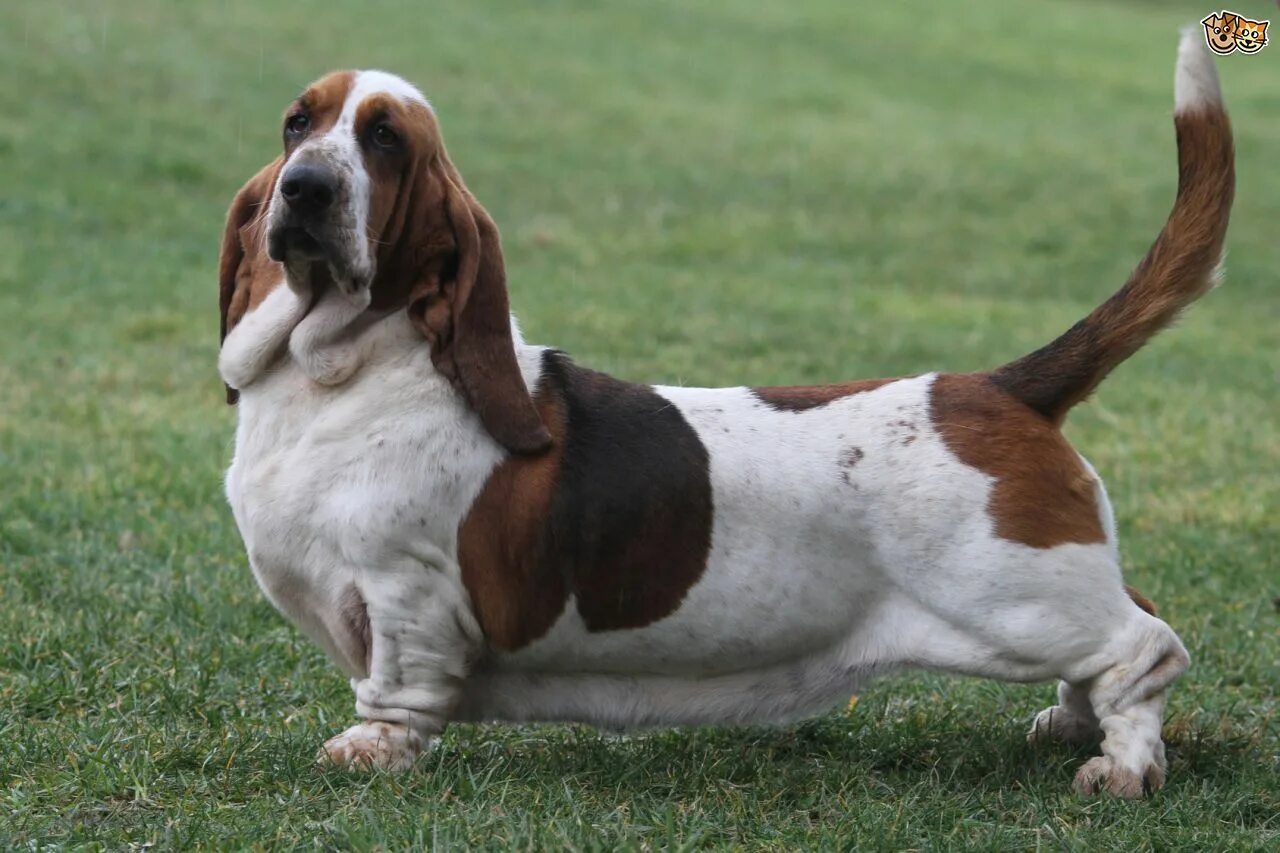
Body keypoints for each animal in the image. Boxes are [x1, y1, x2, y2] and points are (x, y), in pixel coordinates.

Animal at [217, 29, 1228, 794]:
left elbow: (399, 688)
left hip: (1014, 600)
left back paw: (1123, 768)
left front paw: (369, 751)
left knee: (1146, 649)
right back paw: (1072, 725)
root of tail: (997, 385)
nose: (305, 186)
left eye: (385, 140)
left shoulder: (404, 591)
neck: (349, 371)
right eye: (298, 122)